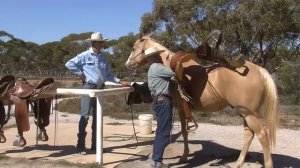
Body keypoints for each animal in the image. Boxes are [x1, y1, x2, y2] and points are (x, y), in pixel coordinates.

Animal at [125, 36, 278, 167]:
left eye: (133, 48)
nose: (128, 65)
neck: (168, 65)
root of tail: (259, 70)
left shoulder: (181, 109)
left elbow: (184, 131)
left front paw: (183, 157)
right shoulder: (183, 109)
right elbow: (185, 131)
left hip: (250, 114)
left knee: (262, 135)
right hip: (245, 113)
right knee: (248, 135)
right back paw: (238, 162)